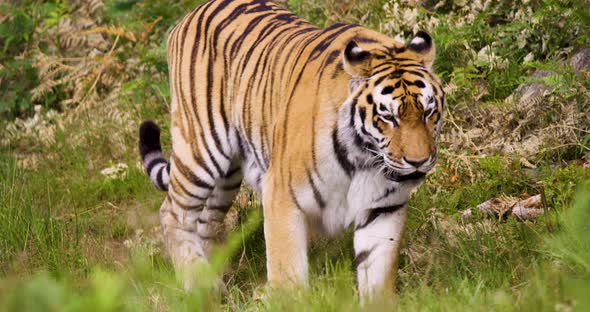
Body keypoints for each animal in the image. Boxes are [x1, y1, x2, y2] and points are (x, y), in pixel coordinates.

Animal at [139, 0, 444, 302]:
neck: (363, 159)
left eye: (428, 112)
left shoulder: (383, 209)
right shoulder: (281, 194)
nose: (418, 161)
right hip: (201, 148)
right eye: (388, 117)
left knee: (206, 220)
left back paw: (213, 281)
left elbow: (378, 277)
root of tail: (191, 13)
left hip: (227, 177)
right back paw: (198, 283)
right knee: (172, 212)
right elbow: (288, 275)